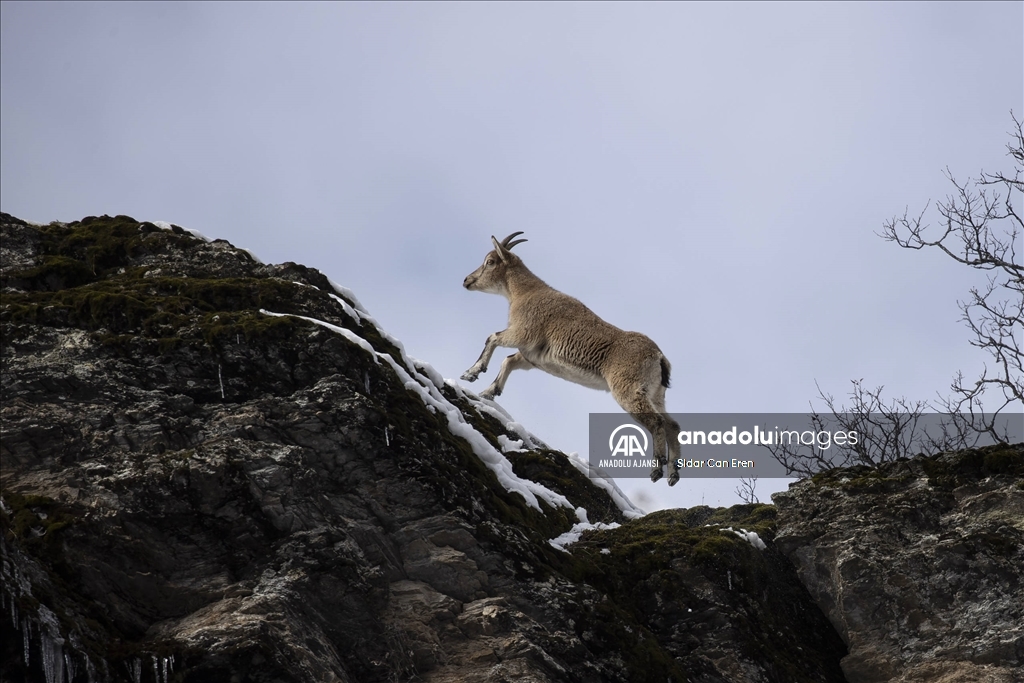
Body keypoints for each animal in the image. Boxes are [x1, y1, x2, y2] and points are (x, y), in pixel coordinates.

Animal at [462, 235, 679, 485]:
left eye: (489, 262)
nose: (467, 280)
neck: (524, 293)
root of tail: (659, 357)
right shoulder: (532, 356)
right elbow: (509, 361)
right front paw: (488, 392)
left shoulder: (522, 333)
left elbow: (493, 338)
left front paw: (471, 373)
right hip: (655, 393)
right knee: (673, 425)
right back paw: (673, 474)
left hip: (628, 390)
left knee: (657, 422)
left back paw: (656, 469)